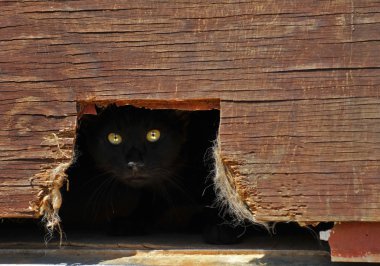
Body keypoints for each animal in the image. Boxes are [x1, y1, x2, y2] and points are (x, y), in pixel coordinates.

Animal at [60, 104, 242, 243]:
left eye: (153, 135)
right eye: (114, 137)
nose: (134, 163)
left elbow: (225, 196)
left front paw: (224, 226)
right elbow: (148, 200)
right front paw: (132, 221)